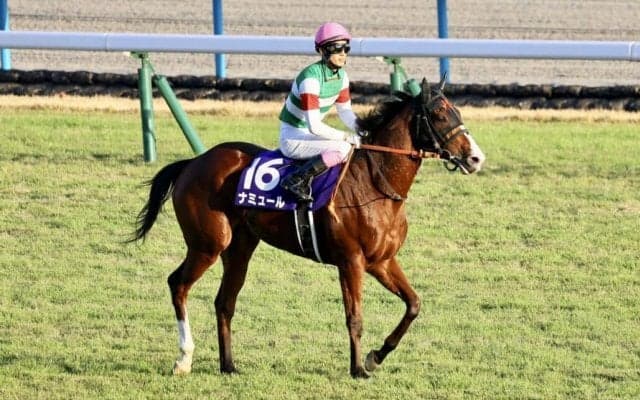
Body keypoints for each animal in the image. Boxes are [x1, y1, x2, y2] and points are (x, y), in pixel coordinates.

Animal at [131, 77, 485, 378]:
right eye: (439, 114)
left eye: (457, 111)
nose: (476, 158)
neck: (375, 182)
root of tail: (193, 162)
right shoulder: (351, 261)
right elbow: (354, 317)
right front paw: (358, 369)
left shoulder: (382, 261)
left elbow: (413, 304)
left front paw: (376, 356)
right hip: (208, 244)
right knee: (178, 284)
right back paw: (184, 359)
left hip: (240, 247)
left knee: (224, 301)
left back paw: (228, 365)